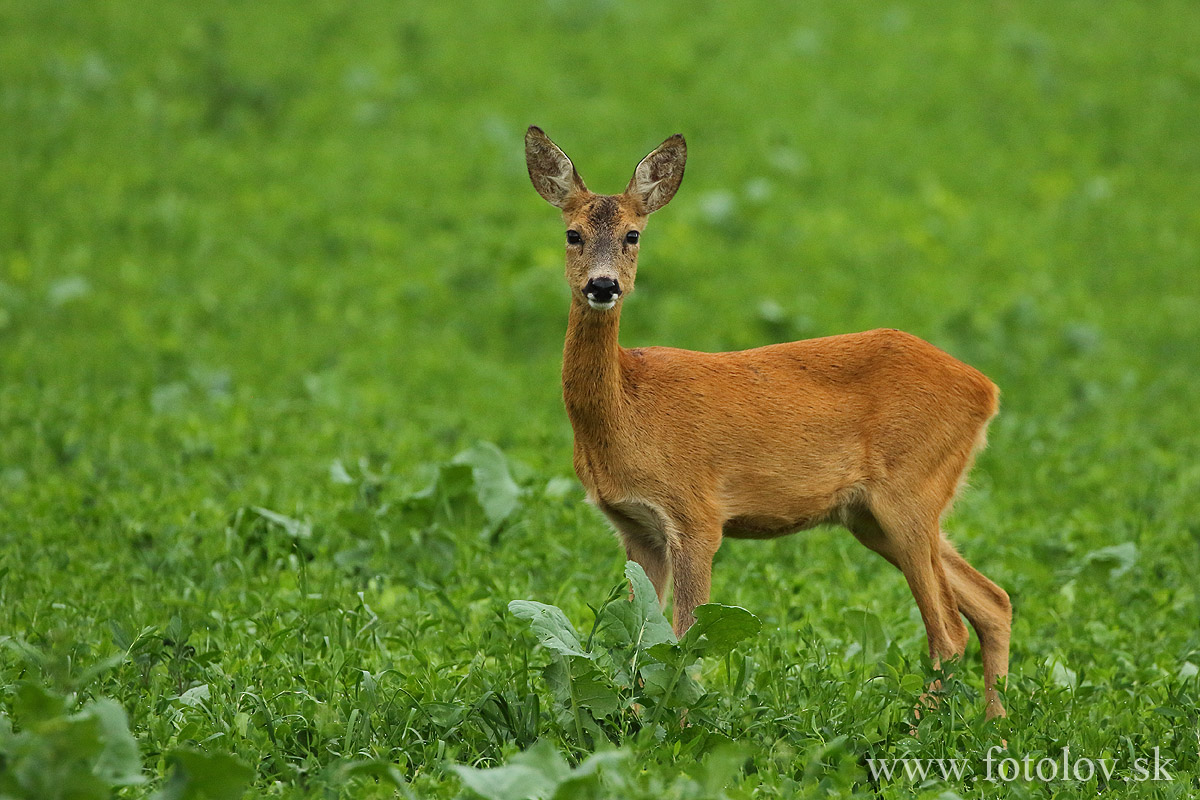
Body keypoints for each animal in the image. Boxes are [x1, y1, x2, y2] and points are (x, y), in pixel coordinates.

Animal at [525, 125, 1012, 719]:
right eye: (571, 234)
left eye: (633, 235)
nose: (602, 286)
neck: (628, 413)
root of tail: (985, 389)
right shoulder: (636, 528)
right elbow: (642, 637)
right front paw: (638, 722)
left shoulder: (697, 515)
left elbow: (684, 641)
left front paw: (677, 727)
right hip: (874, 515)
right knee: (993, 600)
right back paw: (996, 723)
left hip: (910, 492)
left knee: (948, 631)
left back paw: (916, 729)